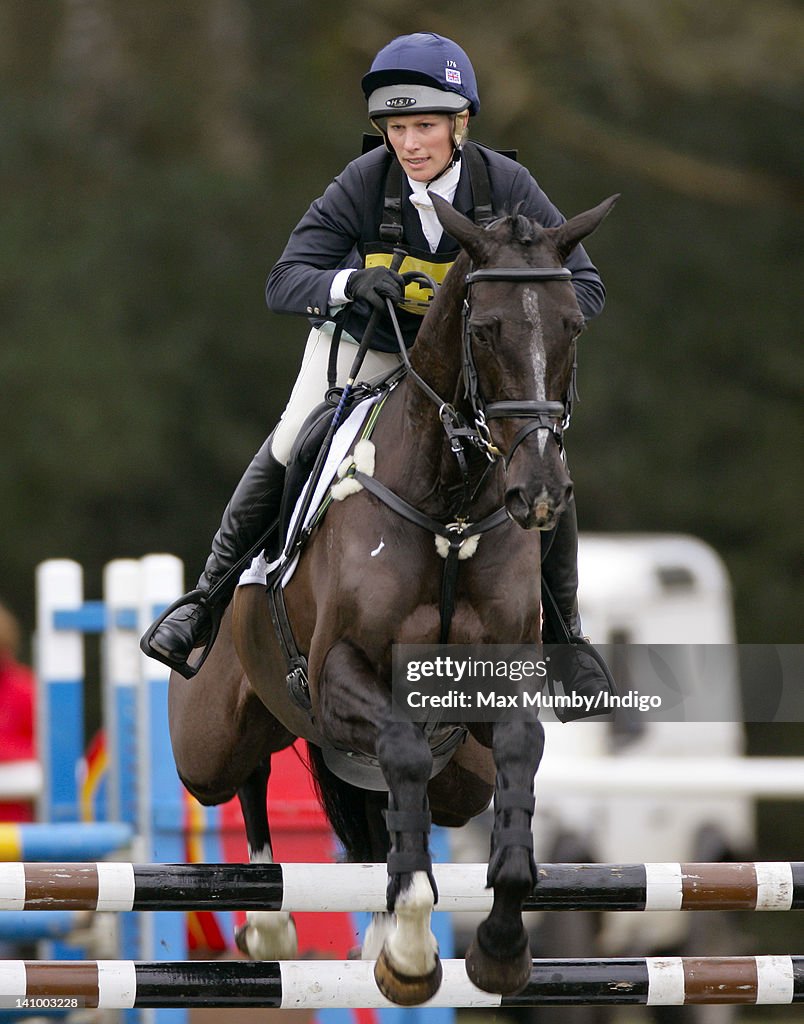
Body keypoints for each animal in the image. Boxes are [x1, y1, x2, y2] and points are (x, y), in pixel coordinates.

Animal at [168, 190, 614, 999]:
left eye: (572, 324)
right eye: (483, 329)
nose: (538, 490)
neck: (451, 504)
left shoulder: (495, 684)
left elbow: (516, 756)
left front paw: (500, 943)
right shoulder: (338, 672)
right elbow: (401, 749)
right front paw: (408, 943)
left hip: (454, 778)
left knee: (391, 808)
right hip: (207, 744)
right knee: (246, 775)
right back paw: (272, 925)